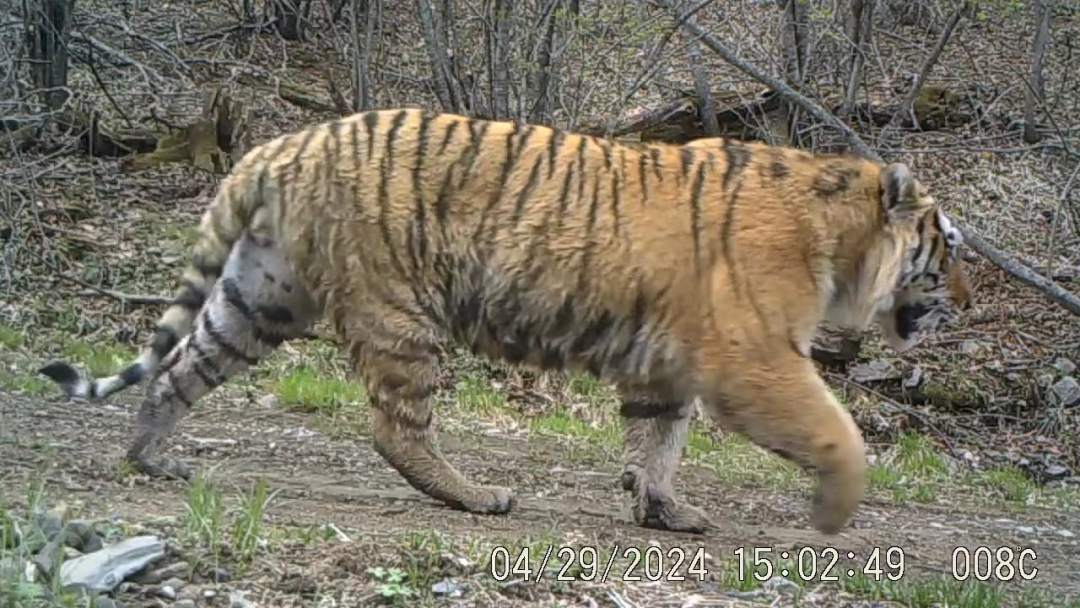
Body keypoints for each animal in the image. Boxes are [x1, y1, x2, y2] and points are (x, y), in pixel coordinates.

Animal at [39, 107, 972, 533]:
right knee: (396, 426)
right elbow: (836, 428)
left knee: (176, 368)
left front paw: (662, 507)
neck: (842, 237)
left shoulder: (668, 362)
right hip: (401, 312)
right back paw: (477, 496)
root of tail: (284, 144)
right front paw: (837, 511)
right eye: (949, 249)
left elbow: (657, 441)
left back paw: (151, 457)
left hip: (259, 298)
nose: (963, 304)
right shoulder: (757, 357)